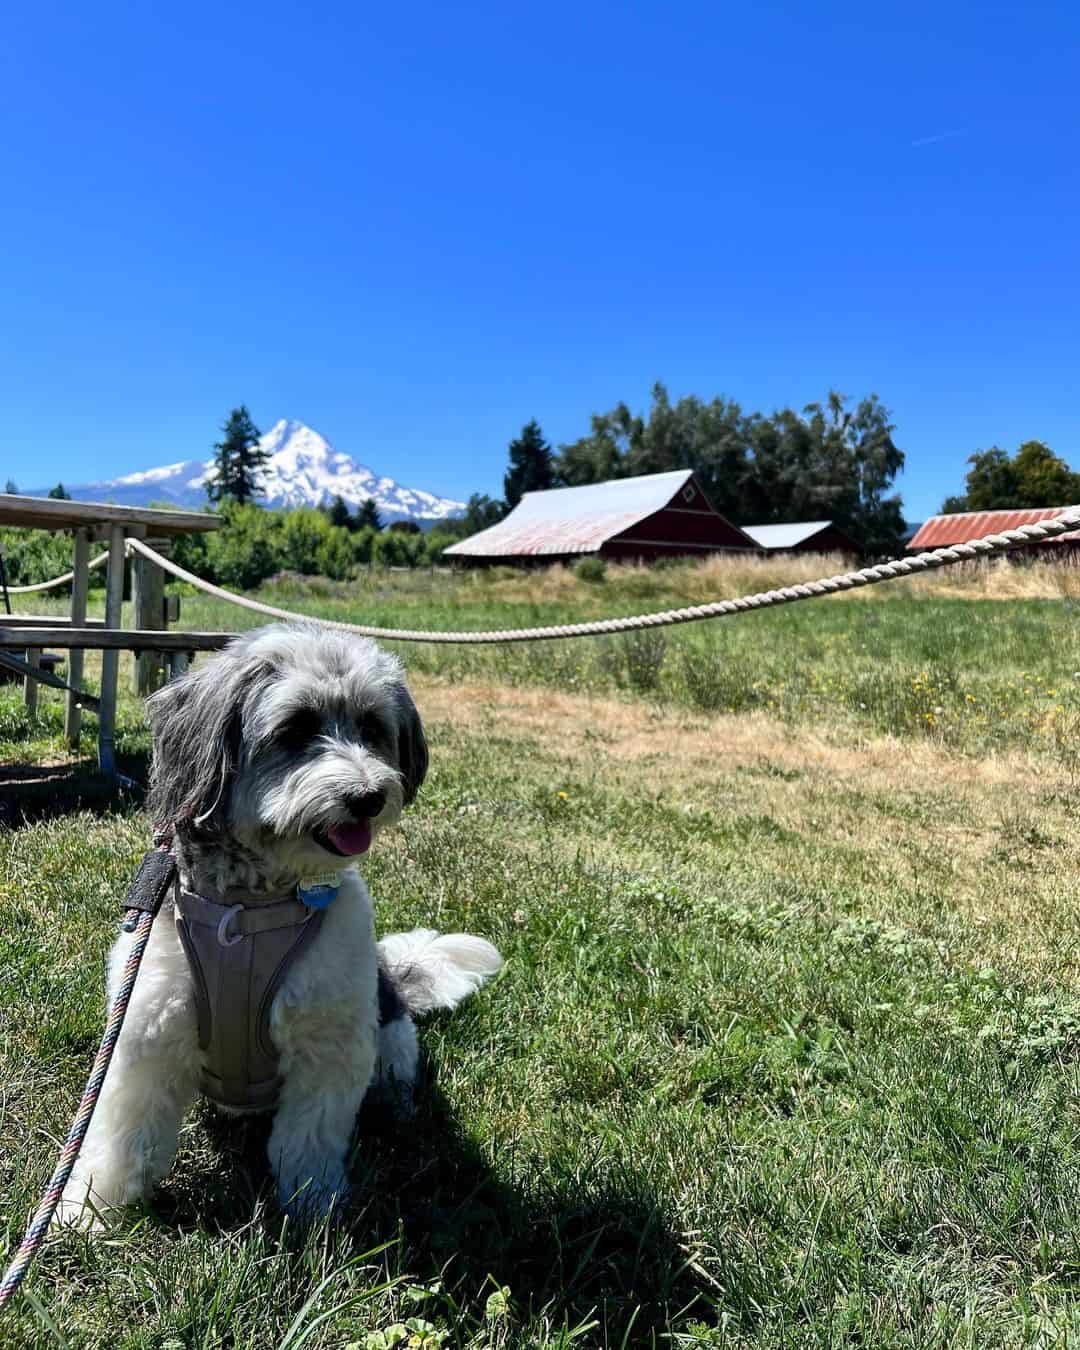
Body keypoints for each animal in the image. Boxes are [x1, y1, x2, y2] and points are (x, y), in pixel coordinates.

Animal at [56, 621, 502, 1225]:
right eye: (295, 729)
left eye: (372, 727)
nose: (368, 796)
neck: (249, 912)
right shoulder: (148, 1029)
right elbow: (124, 1136)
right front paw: (89, 1209)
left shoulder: (329, 1043)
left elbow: (309, 1140)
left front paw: (315, 1209)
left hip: (387, 1041)